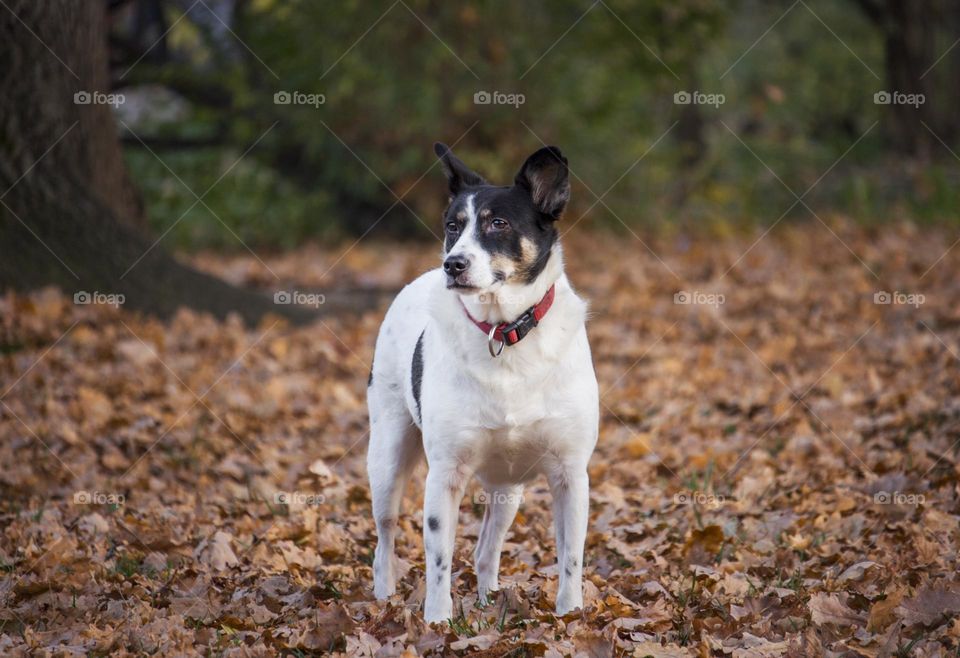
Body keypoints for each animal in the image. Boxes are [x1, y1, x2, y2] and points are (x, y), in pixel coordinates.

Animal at [364, 140, 596, 620]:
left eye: (498, 223)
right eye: (453, 226)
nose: (452, 264)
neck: (503, 331)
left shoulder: (570, 473)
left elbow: (571, 556)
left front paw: (570, 616)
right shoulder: (445, 473)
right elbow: (438, 557)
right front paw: (437, 620)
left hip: (508, 489)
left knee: (486, 551)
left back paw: (491, 598)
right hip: (387, 458)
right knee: (385, 539)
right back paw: (384, 598)